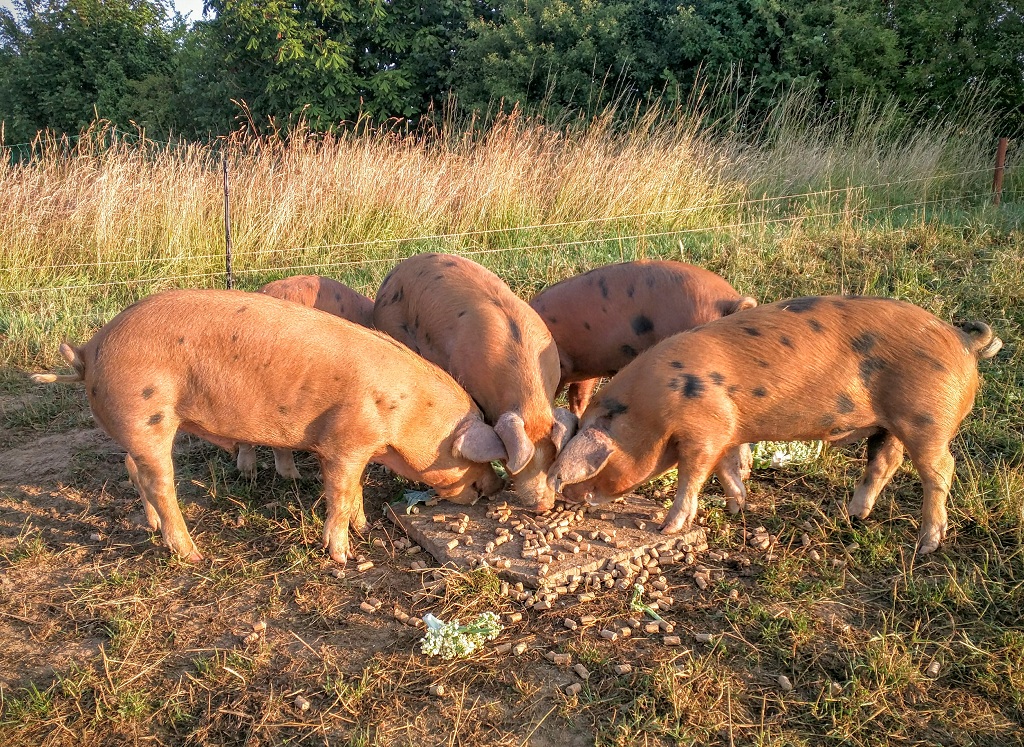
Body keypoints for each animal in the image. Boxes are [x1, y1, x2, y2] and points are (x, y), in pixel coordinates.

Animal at [548, 295, 1003, 553]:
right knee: (884, 463)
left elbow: (692, 477)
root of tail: (963, 341)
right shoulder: (728, 431)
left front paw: (667, 526)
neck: (650, 411)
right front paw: (737, 507)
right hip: (888, 424)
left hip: (927, 419)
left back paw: (927, 545)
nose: (567, 500)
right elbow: (728, 470)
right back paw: (853, 516)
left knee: (940, 469)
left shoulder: (705, 430)